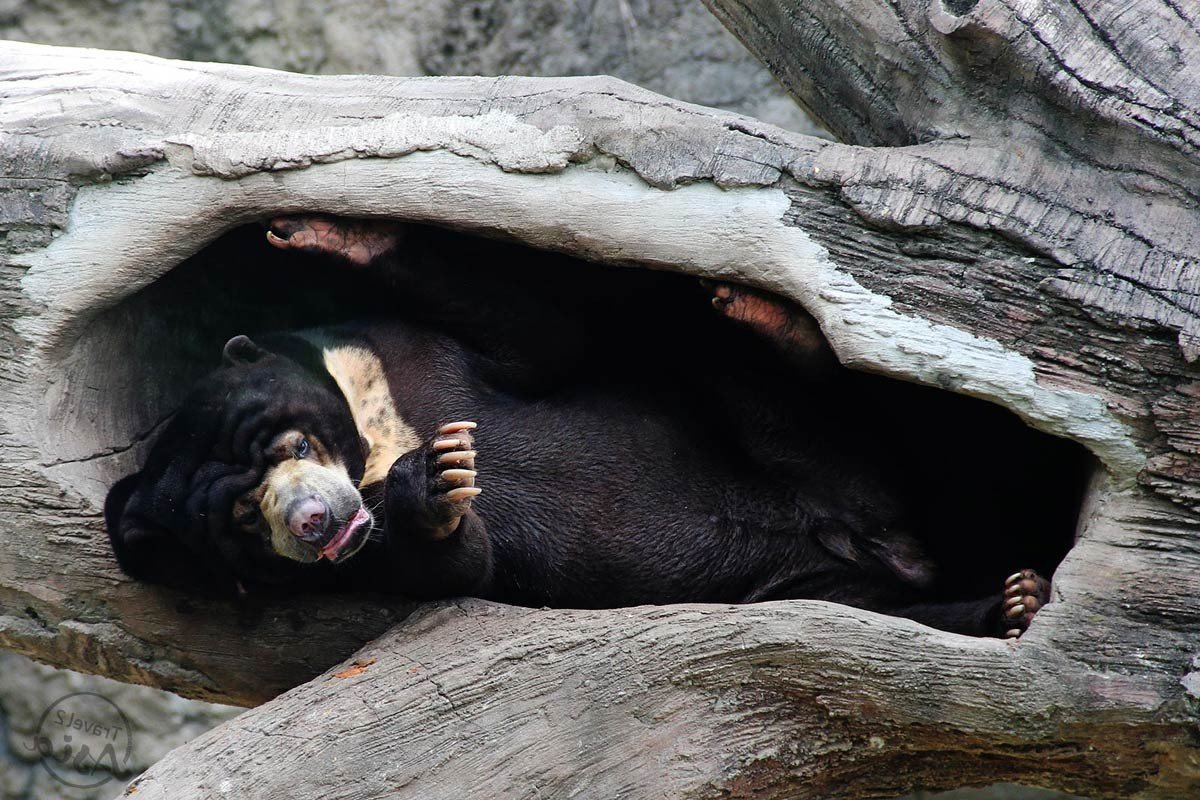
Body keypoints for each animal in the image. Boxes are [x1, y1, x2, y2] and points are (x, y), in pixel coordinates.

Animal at [105, 212, 1060, 638]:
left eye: (294, 446)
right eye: (243, 517)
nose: (316, 520)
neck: (371, 435)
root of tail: (882, 543)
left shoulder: (404, 349)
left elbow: (538, 337)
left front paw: (325, 231)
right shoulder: (355, 568)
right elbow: (456, 567)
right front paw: (441, 482)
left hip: (816, 455)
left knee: (762, 382)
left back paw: (759, 313)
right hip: (793, 588)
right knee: (870, 613)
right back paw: (1007, 604)